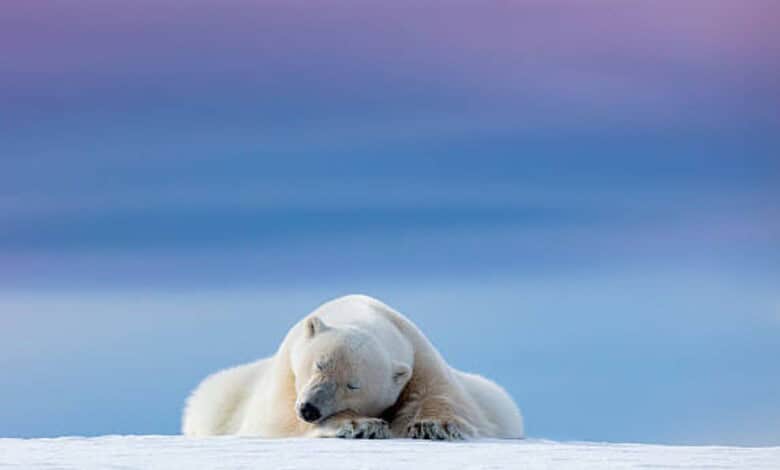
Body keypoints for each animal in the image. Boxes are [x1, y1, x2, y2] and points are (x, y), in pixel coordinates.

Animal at [182, 294, 524, 440]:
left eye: (353, 384)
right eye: (319, 364)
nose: (310, 409)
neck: (361, 312)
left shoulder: (420, 355)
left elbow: (446, 397)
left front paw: (431, 425)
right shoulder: (286, 375)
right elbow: (279, 419)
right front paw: (361, 425)